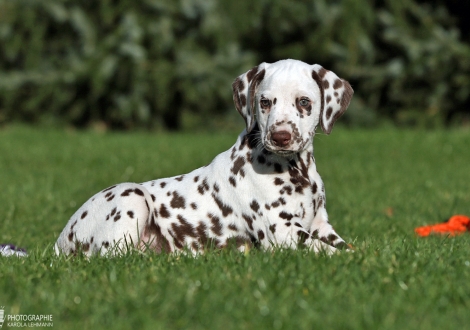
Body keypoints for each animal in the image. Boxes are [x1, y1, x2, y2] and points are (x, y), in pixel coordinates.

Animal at [54, 58, 352, 255]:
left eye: (304, 102)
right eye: (265, 102)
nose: (280, 137)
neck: (297, 171)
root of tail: (59, 244)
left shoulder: (321, 225)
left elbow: (345, 245)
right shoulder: (282, 232)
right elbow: (329, 251)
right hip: (132, 196)